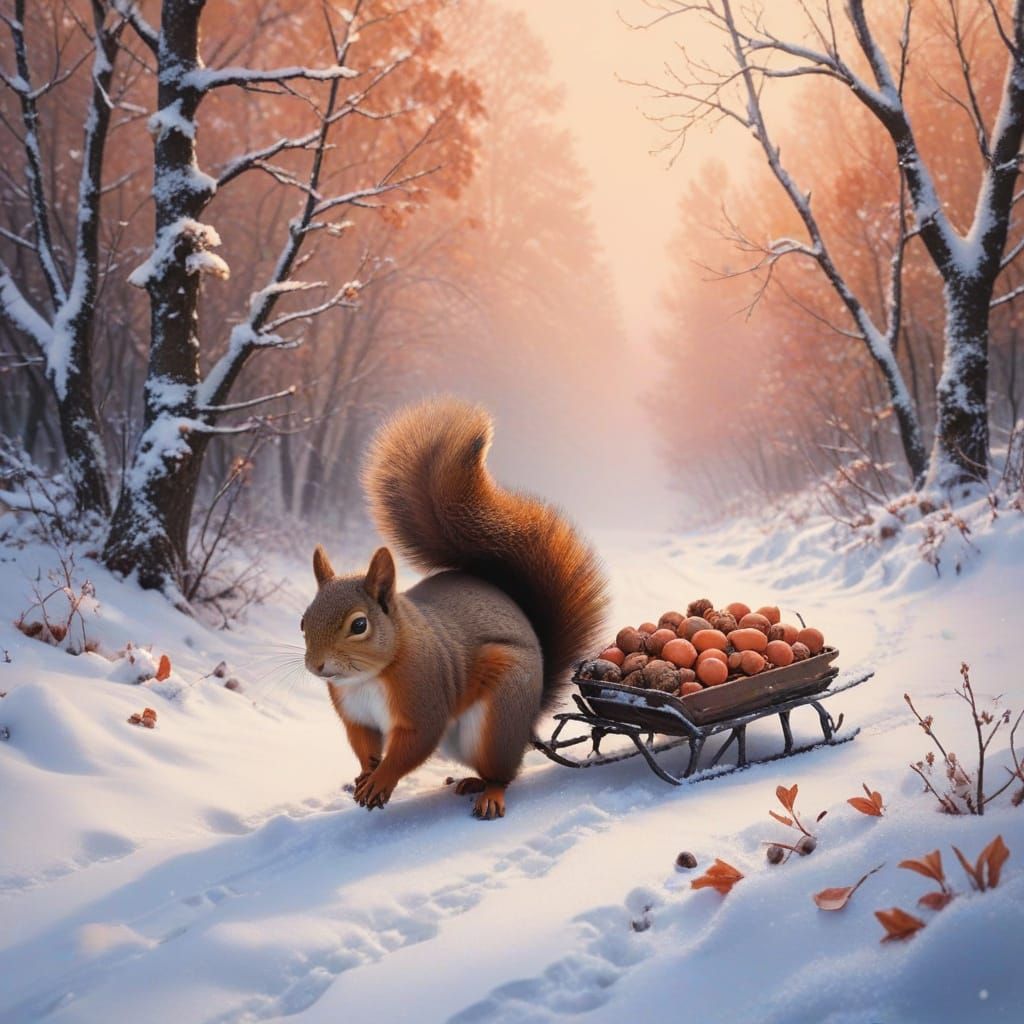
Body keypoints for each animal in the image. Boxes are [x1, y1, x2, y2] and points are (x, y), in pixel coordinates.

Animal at [300, 397, 608, 819]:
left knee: (502, 773)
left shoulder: (424, 698)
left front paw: (381, 780)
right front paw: (366, 774)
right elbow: (364, 745)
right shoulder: (356, 716)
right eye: (303, 621)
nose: (317, 666)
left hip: (496, 721)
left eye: (359, 625)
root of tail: (528, 720)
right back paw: (471, 782)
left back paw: (490, 794)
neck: (366, 678)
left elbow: (413, 745)